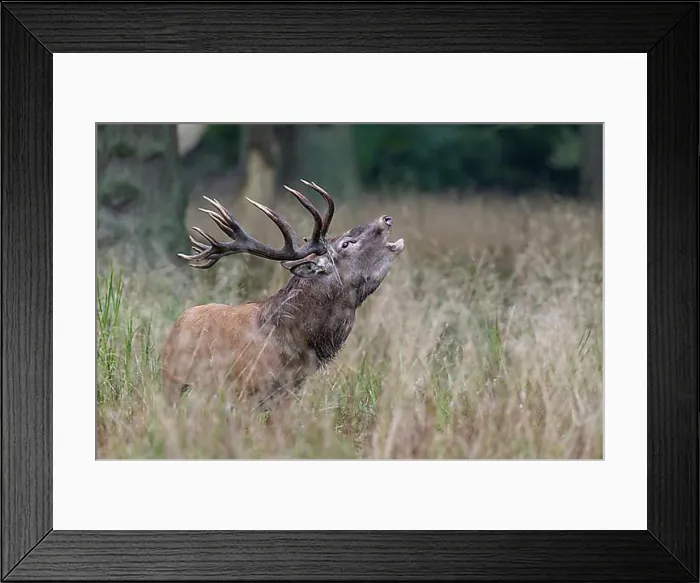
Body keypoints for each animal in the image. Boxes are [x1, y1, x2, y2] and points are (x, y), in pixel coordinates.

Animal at [160, 179, 405, 413]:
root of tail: (178, 324)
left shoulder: (289, 392)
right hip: (174, 379)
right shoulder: (244, 391)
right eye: (346, 244)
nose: (386, 219)